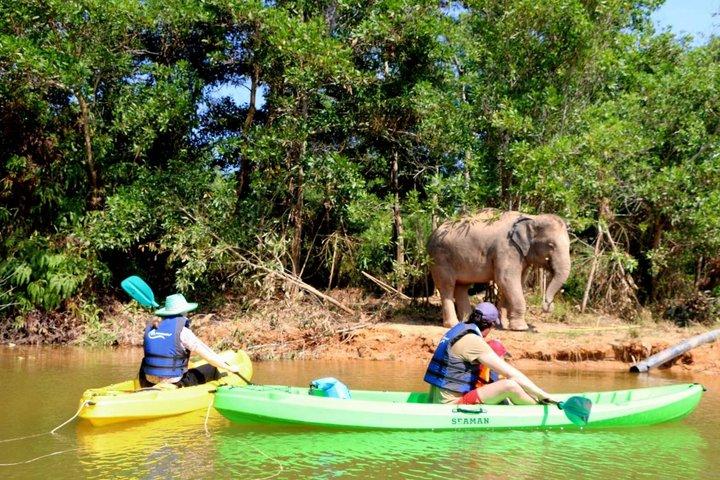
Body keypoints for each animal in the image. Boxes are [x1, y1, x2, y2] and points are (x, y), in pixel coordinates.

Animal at [428, 209, 571, 330]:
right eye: (551, 245)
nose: (548, 305)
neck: (531, 217)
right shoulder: (507, 248)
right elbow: (506, 279)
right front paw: (520, 328)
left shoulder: (520, 254)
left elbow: (517, 282)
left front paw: (505, 325)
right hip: (440, 258)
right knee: (447, 286)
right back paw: (452, 325)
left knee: (462, 287)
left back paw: (467, 322)